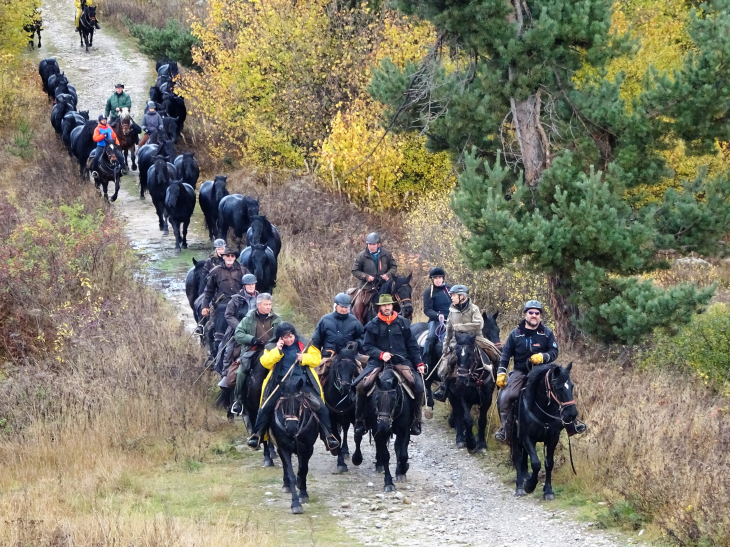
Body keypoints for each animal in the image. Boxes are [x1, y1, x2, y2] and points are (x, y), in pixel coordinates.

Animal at [268, 376, 318, 512]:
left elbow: (303, 470)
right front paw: (295, 504)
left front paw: (303, 494)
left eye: (299, 402)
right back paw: (286, 485)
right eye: (282, 404)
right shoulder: (283, 448)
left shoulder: (307, 448)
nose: (291, 429)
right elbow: (291, 474)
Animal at [322, 342, 360, 476]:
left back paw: (345, 451)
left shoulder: (354, 416)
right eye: (338, 366)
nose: (346, 387)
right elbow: (337, 437)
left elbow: (356, 435)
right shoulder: (332, 418)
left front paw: (357, 458)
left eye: (353, 366)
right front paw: (341, 464)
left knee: (345, 429)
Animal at [352, 364, 412, 492]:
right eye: (376, 399)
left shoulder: (404, 430)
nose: (384, 426)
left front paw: (402, 470)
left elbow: (403, 454)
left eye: (394, 399)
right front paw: (388, 482)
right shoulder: (378, 431)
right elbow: (385, 455)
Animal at [512, 364, 576, 500]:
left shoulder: (552, 439)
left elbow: (549, 463)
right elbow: (536, 463)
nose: (572, 414)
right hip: (515, 435)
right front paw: (529, 485)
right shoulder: (526, 437)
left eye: (572, 386)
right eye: (558, 388)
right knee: (518, 457)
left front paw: (548, 491)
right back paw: (520, 487)